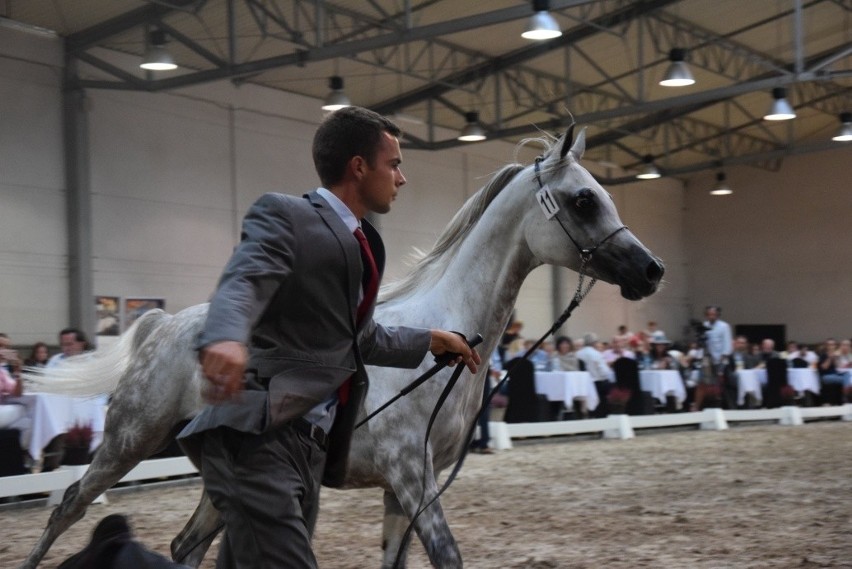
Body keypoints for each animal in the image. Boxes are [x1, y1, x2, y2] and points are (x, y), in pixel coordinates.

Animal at [18, 126, 660, 564]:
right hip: (128, 441)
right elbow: (448, 556)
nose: (652, 271)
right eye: (583, 199)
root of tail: (162, 325)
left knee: (184, 545)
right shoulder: (413, 477)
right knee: (69, 503)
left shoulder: (403, 495)